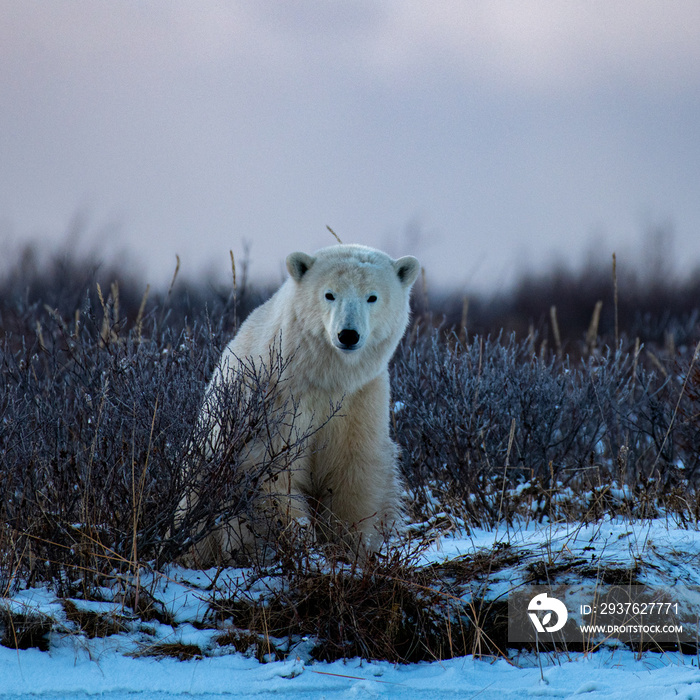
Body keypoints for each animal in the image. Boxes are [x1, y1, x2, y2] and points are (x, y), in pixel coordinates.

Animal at [180, 245, 422, 564]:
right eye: (329, 294)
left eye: (372, 296)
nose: (348, 334)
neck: (322, 375)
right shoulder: (276, 400)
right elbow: (273, 471)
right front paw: (301, 540)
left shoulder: (360, 397)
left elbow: (353, 467)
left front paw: (352, 544)